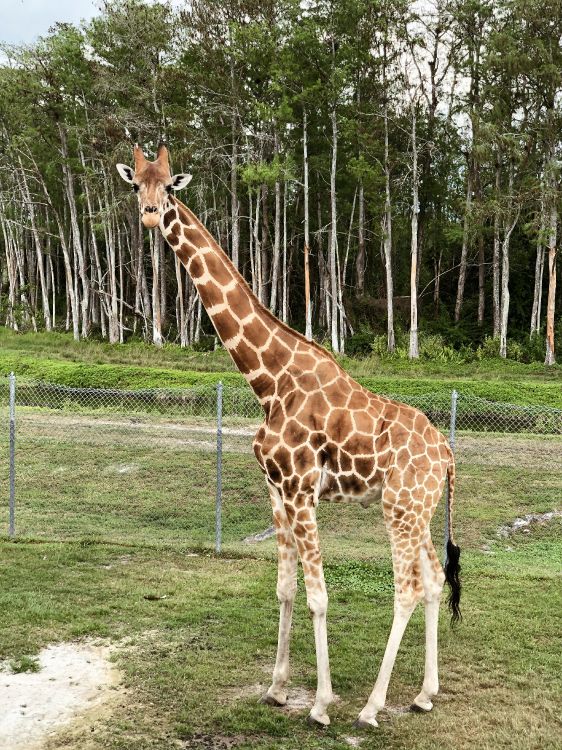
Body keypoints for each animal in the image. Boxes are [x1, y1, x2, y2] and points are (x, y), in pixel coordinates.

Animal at [117, 144, 462, 729]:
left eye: (169, 186)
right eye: (136, 183)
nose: (149, 215)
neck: (267, 380)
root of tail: (448, 455)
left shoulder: (302, 490)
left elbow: (319, 595)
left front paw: (321, 704)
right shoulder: (275, 490)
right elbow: (283, 588)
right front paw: (277, 689)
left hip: (401, 507)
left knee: (408, 588)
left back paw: (371, 707)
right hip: (419, 508)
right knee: (435, 579)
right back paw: (424, 694)